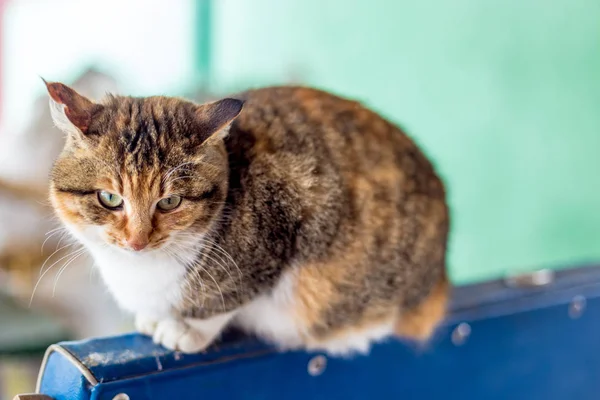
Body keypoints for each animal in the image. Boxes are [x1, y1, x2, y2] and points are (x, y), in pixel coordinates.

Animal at [45, 79, 450, 354]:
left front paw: (185, 330)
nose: (137, 241)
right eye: (110, 198)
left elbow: (227, 299)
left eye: (170, 201)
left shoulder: (280, 238)